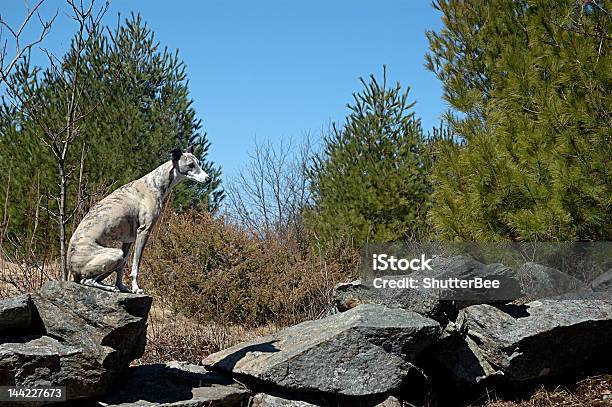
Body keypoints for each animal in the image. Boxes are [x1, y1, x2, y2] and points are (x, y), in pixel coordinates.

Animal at [68, 147, 209, 294]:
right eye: (191, 165)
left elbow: (121, 268)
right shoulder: (144, 231)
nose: (208, 179)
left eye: (198, 163)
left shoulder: (128, 240)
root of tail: (71, 267)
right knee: (87, 280)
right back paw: (109, 287)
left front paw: (122, 286)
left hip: (118, 255)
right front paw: (136, 288)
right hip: (114, 254)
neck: (154, 184)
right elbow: (136, 266)